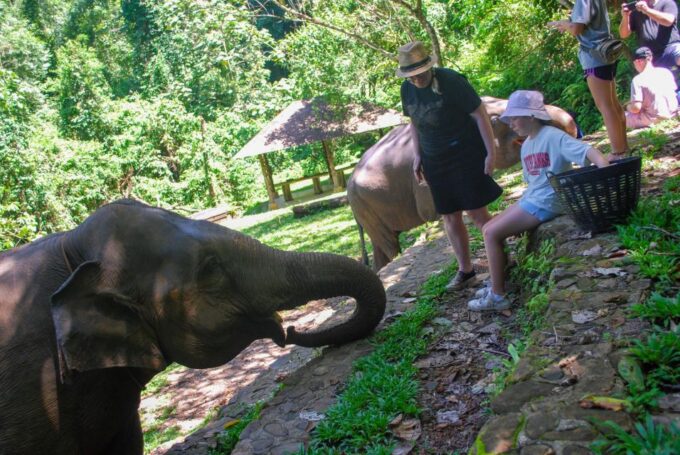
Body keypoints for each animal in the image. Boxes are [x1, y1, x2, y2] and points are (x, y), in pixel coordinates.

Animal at [348, 96, 577, 271]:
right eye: (495, 120)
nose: (571, 124)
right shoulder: (425, 182)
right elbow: (434, 212)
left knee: (381, 247)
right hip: (364, 206)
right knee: (389, 244)